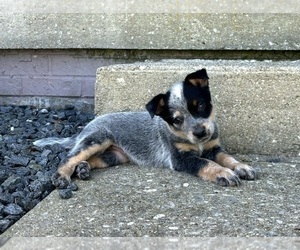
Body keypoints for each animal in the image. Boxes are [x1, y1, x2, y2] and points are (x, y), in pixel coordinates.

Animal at [34, 68, 255, 188]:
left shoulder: (213, 147)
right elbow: (206, 164)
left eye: (200, 106)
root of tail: (86, 126)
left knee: (92, 159)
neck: (197, 143)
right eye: (176, 120)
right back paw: (62, 176)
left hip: (115, 155)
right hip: (97, 139)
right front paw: (224, 174)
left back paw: (83, 168)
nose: (200, 133)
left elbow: (227, 157)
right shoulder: (181, 158)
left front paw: (242, 166)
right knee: (70, 157)